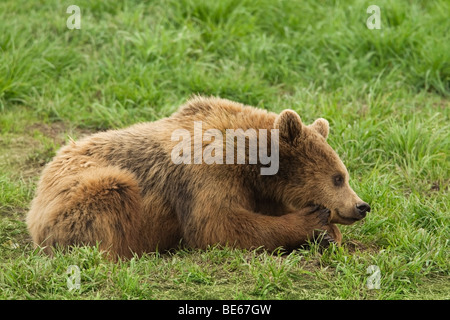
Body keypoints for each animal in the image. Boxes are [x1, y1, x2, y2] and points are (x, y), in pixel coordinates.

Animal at [25, 95, 370, 258]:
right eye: (338, 177)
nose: (362, 206)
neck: (250, 162)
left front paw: (329, 235)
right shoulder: (206, 173)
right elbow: (218, 224)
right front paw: (313, 222)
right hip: (83, 195)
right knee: (113, 195)